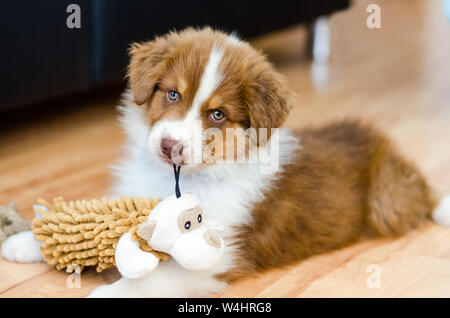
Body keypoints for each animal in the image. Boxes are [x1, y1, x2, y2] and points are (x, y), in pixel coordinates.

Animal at [3, 27, 450, 298]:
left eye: (218, 114)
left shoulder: (216, 254)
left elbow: (161, 275)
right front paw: (26, 241)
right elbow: (87, 224)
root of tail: (383, 146)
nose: (169, 146)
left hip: (389, 201)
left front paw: (109, 292)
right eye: (172, 94)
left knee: (422, 197)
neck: (179, 179)